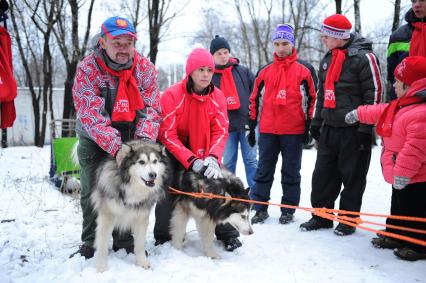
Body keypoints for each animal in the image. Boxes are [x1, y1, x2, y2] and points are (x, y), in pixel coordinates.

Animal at [91, 142, 170, 272]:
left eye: (155, 161)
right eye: (141, 162)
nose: (153, 175)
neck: (131, 187)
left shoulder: (141, 218)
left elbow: (140, 245)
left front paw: (142, 263)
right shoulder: (107, 217)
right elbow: (102, 246)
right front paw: (101, 268)